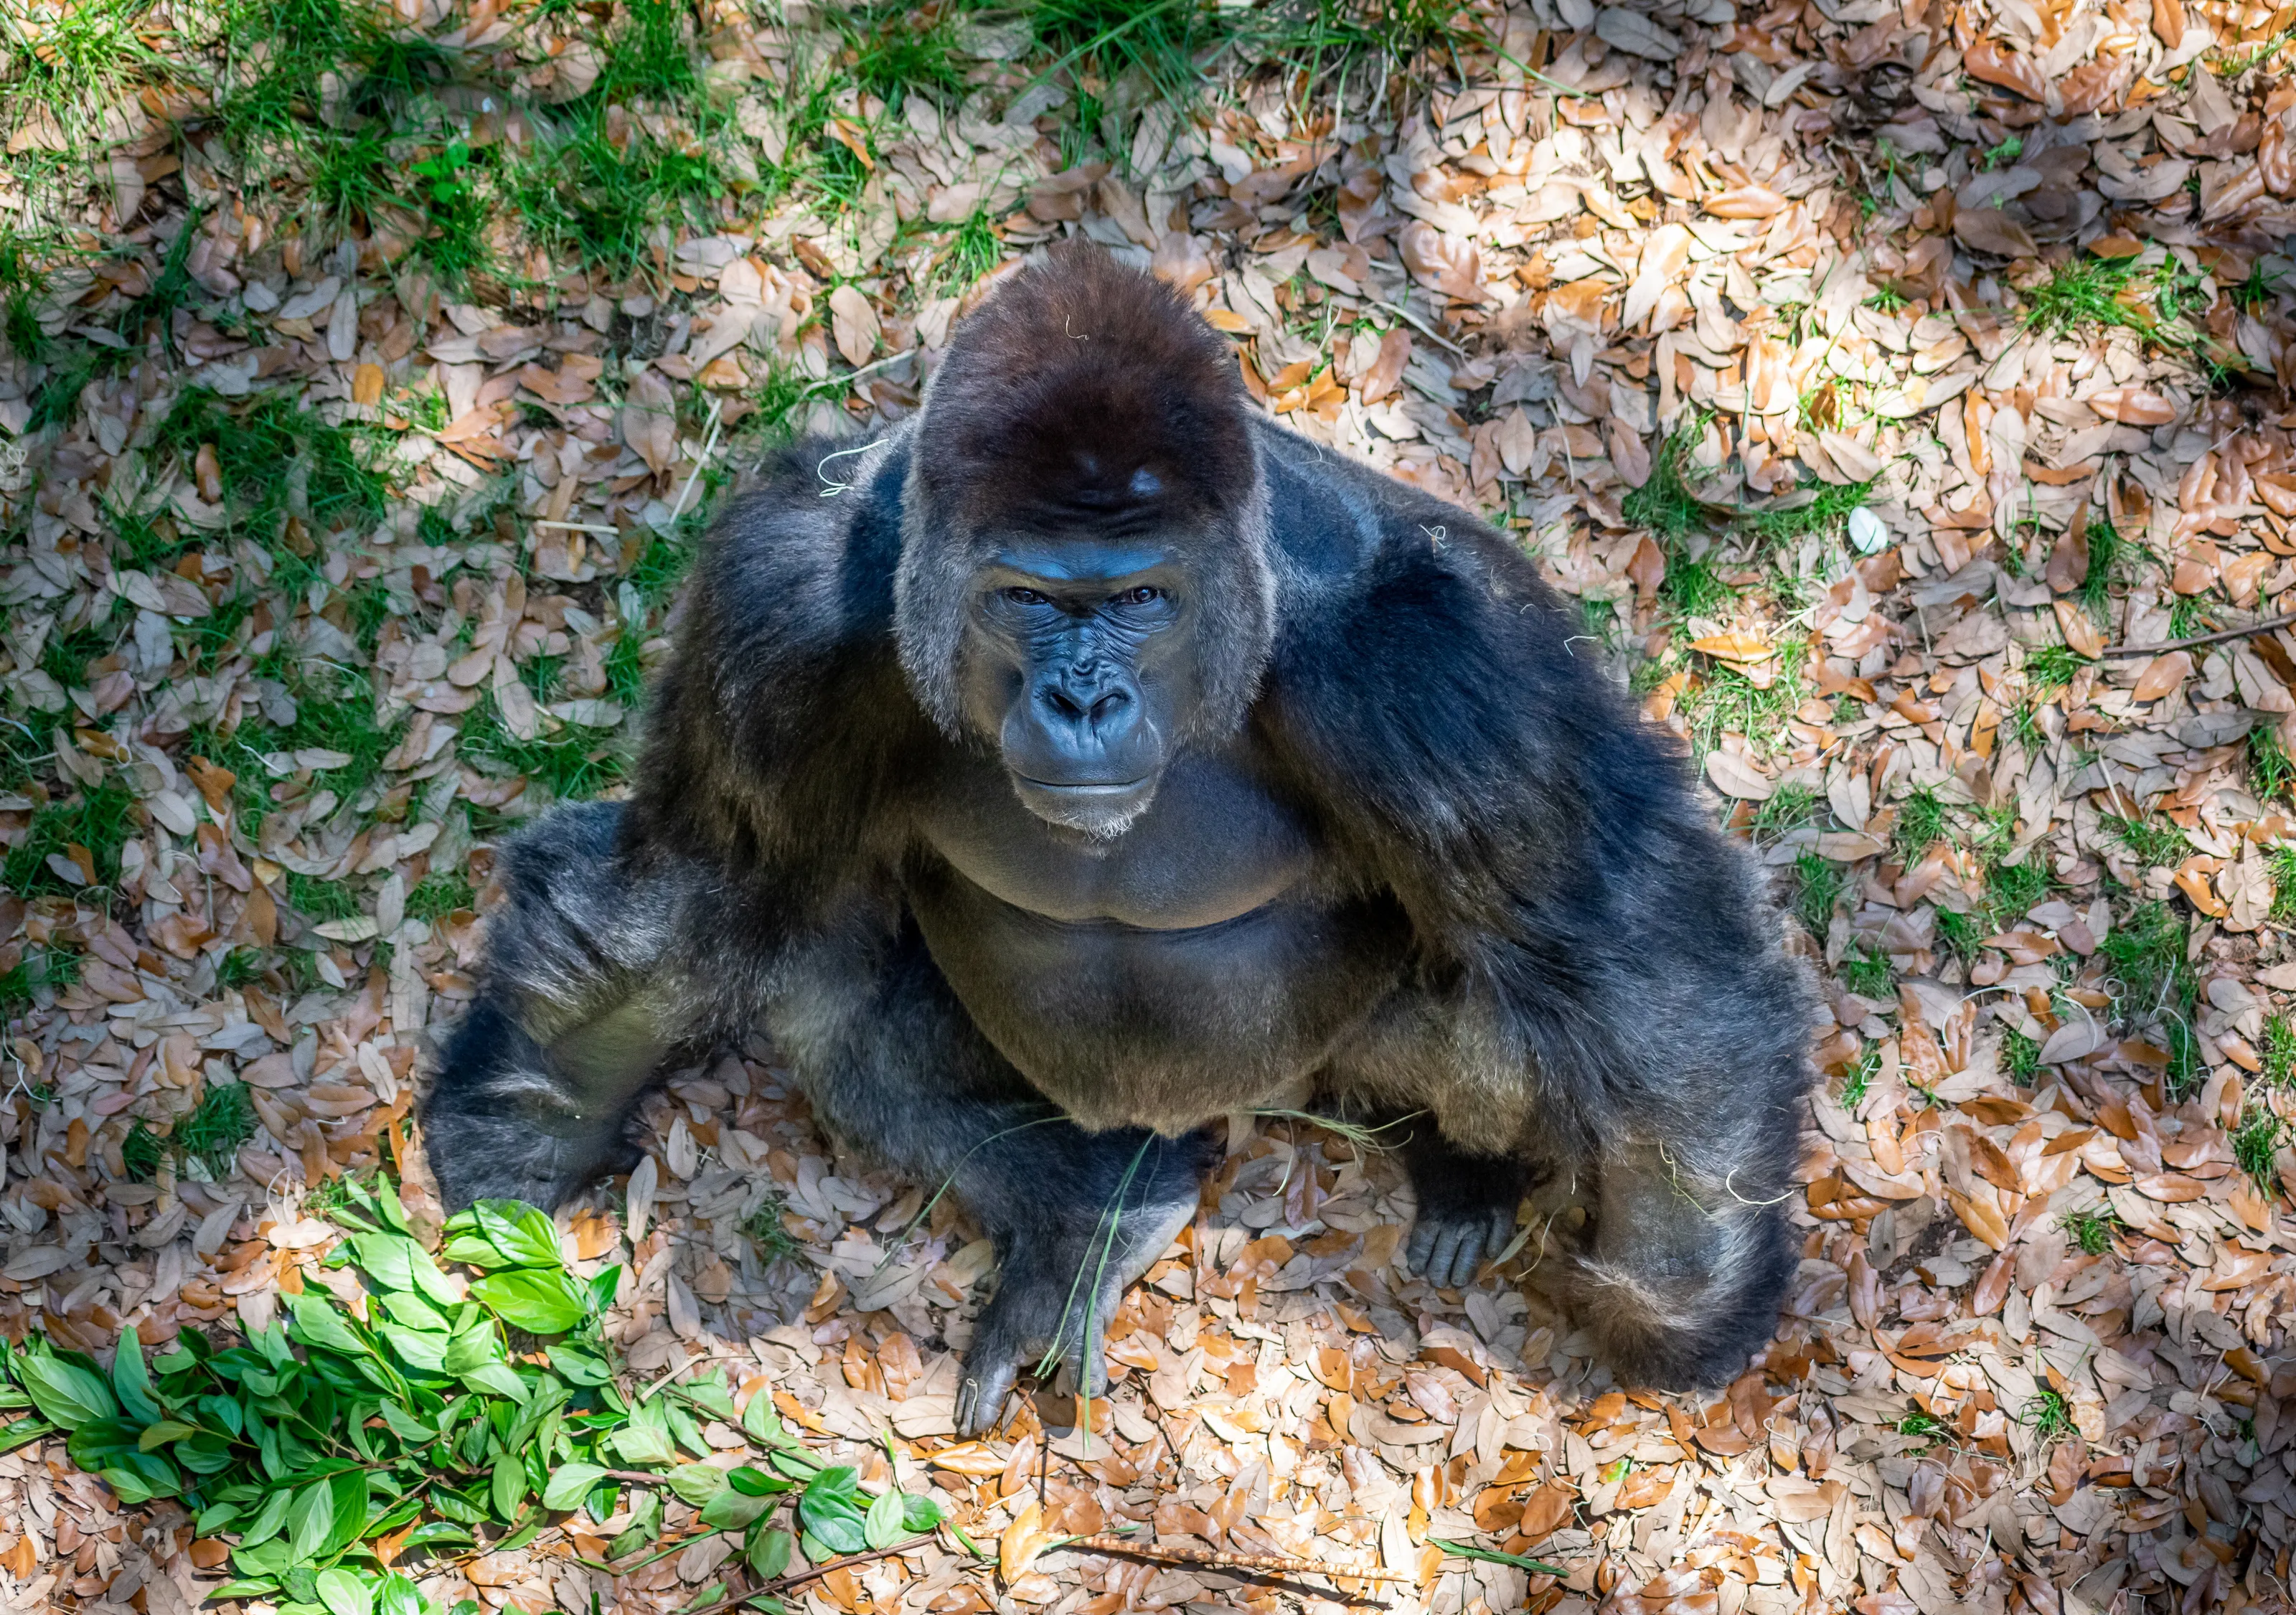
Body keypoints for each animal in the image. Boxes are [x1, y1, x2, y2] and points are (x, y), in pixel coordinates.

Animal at [422, 244, 1815, 1434]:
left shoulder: (1436, 659)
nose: (1082, 700)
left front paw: (1677, 1293)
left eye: (1139, 596)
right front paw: (524, 1115)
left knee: (1524, 1022)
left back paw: (1458, 1171)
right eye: (1030, 599)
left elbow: (1631, 940)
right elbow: (703, 877)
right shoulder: (785, 600)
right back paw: (1090, 1209)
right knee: (822, 987)